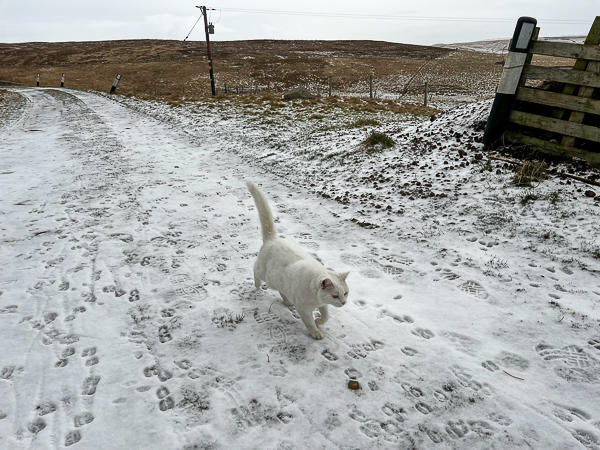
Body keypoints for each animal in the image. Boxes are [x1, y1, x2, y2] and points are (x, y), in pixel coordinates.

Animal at [245, 181, 346, 340]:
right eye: (335, 295)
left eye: (345, 293)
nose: (343, 302)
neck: (316, 298)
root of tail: (272, 238)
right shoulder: (303, 309)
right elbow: (309, 322)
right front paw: (315, 331)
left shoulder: (323, 304)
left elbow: (326, 316)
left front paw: (318, 321)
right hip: (265, 275)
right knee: (255, 270)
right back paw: (257, 284)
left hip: (279, 280)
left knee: (282, 290)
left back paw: (287, 301)